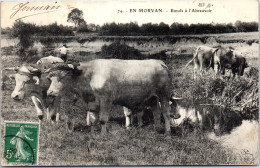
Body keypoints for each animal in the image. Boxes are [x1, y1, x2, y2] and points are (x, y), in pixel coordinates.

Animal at [45, 59, 181, 133]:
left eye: (63, 76)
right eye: (50, 78)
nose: (49, 92)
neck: (90, 75)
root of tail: (160, 63)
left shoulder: (106, 100)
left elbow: (103, 119)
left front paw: (103, 135)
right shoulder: (92, 101)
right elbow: (93, 119)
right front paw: (93, 133)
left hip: (164, 95)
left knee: (165, 113)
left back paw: (167, 131)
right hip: (152, 98)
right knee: (156, 113)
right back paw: (156, 129)